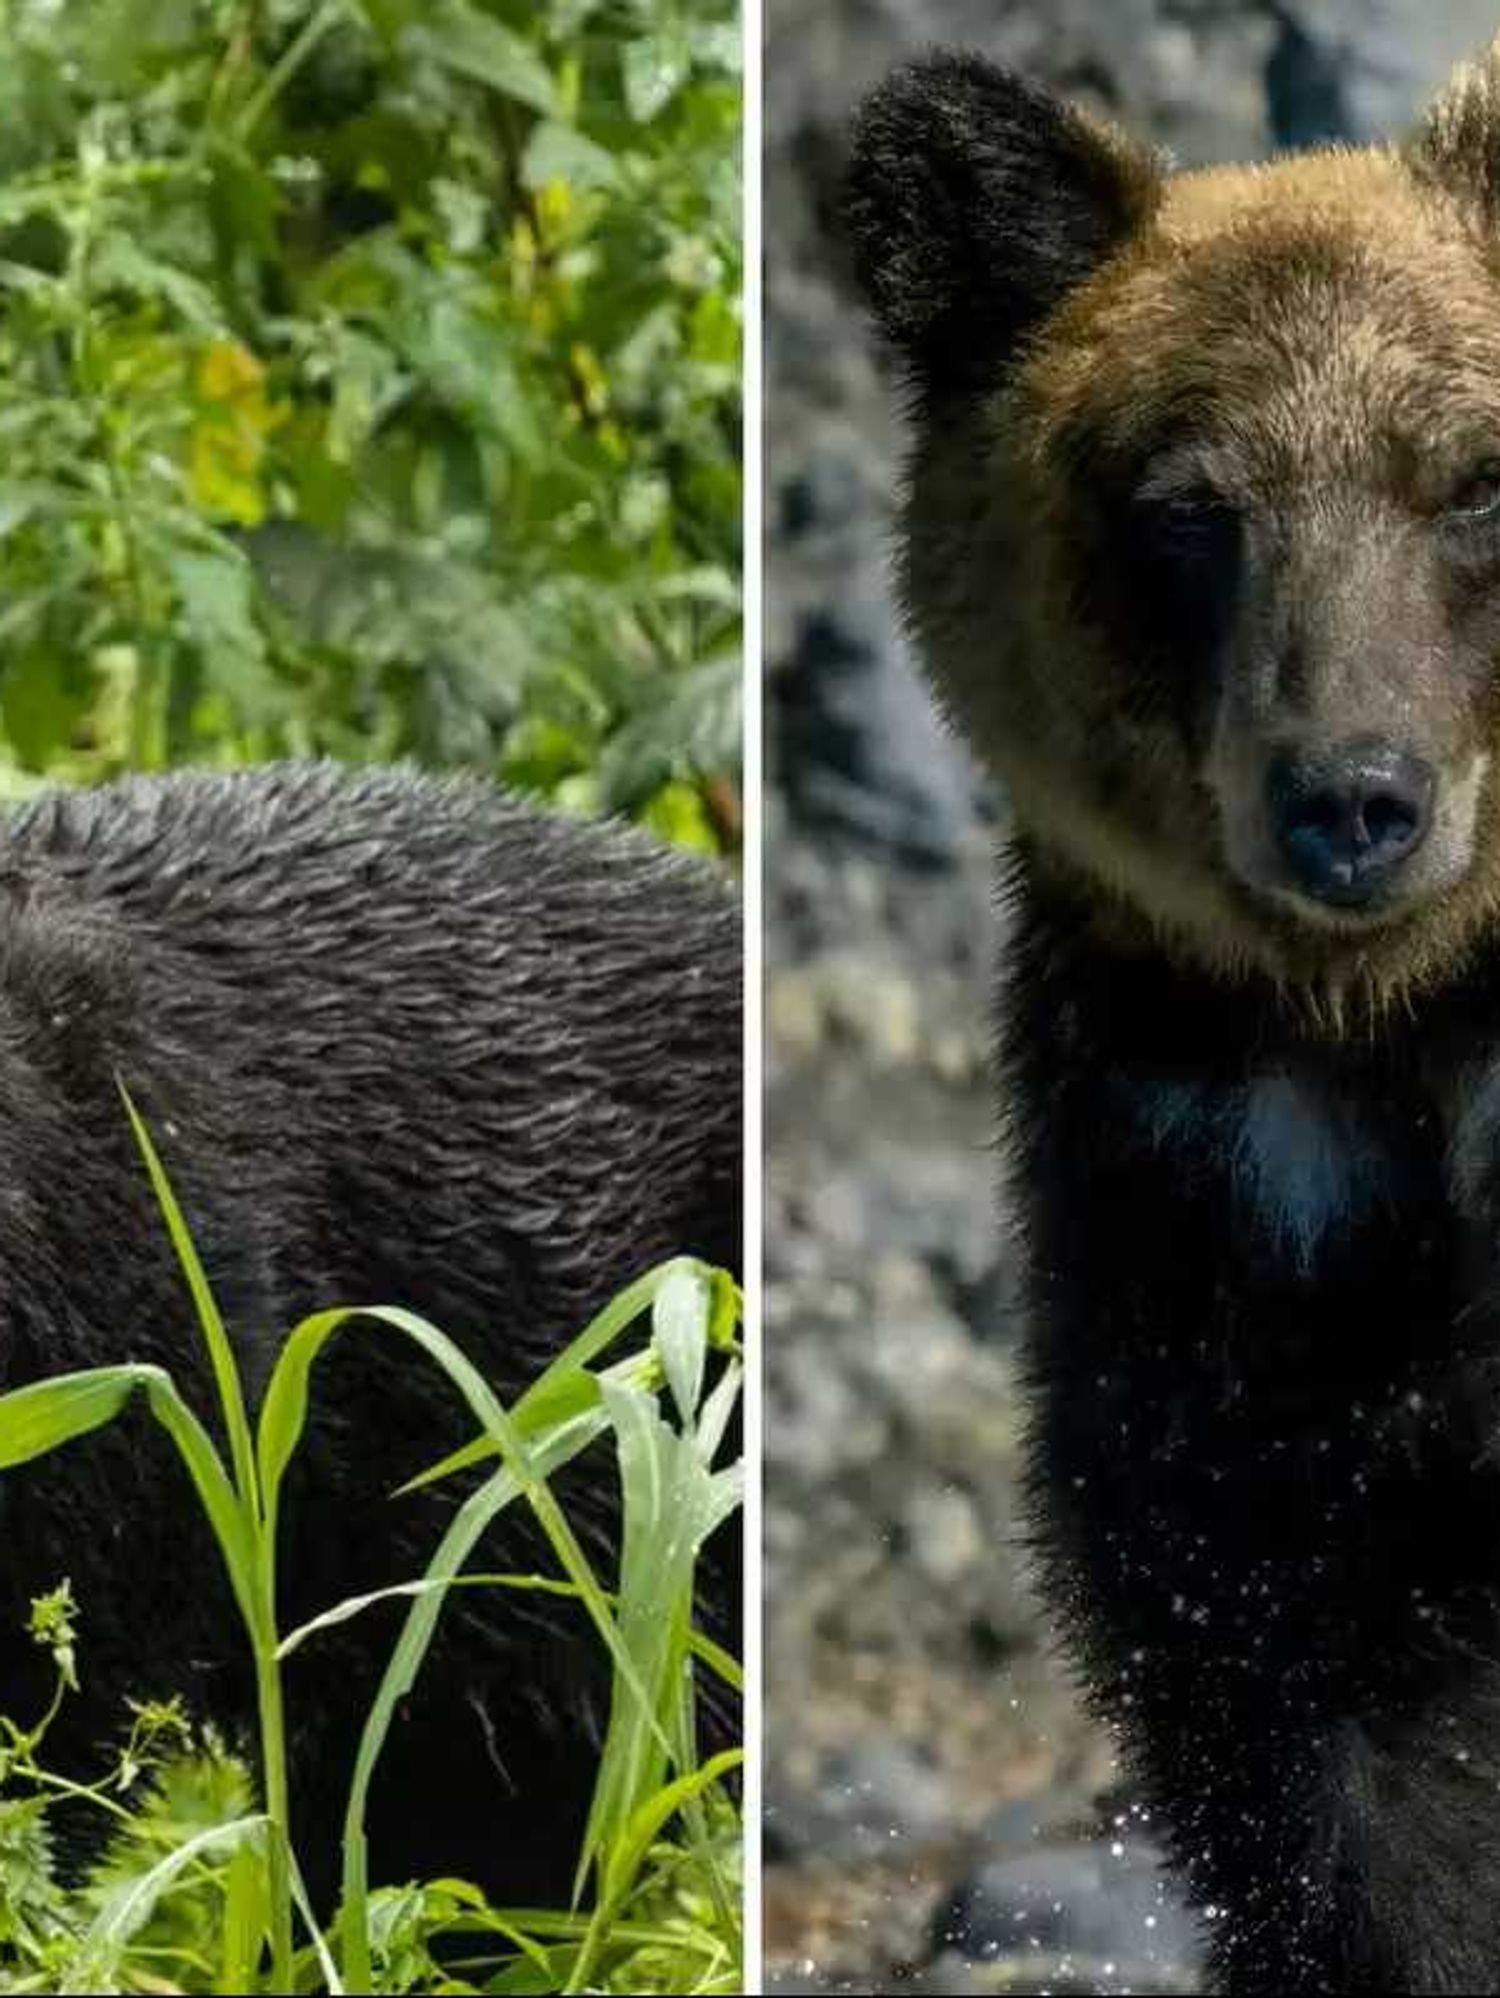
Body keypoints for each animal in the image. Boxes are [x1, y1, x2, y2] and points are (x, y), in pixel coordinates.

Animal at [845, 34, 1500, 1997]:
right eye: (1188, 510)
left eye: (1473, 479)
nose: (1353, 798)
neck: (1394, 1019)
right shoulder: (1202, 1171)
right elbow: (1293, 1677)